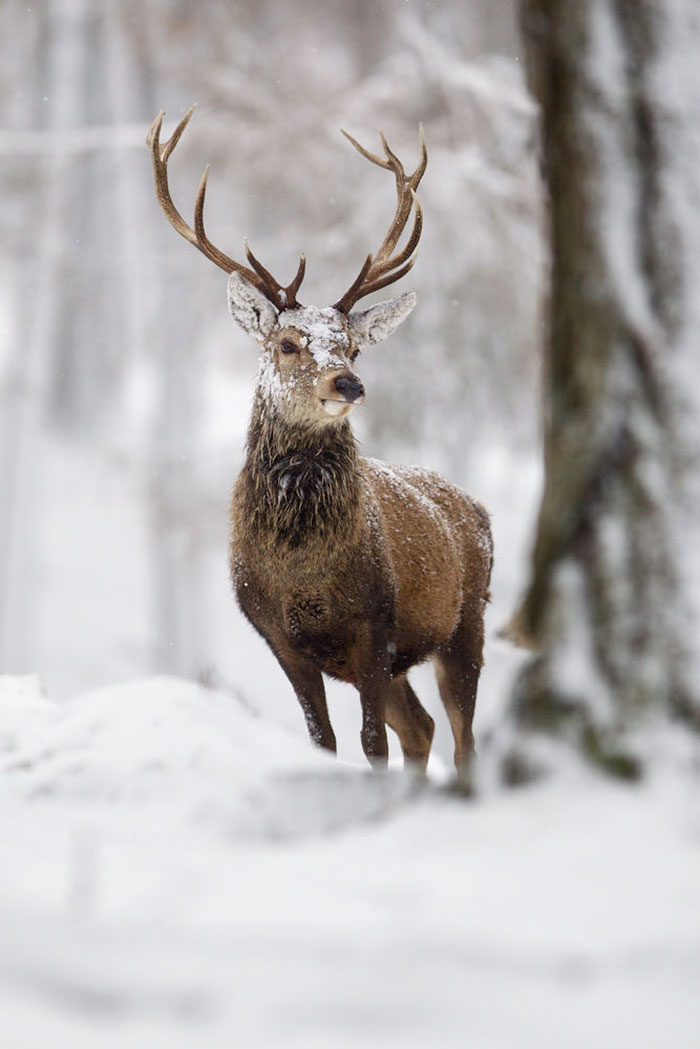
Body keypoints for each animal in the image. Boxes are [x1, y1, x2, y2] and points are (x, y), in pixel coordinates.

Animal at [147, 106, 493, 780]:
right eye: (287, 343)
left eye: (353, 347)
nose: (349, 383)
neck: (305, 575)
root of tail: (475, 506)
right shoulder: (280, 638)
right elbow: (322, 741)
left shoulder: (375, 626)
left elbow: (370, 743)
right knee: (422, 727)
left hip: (466, 623)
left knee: (462, 740)